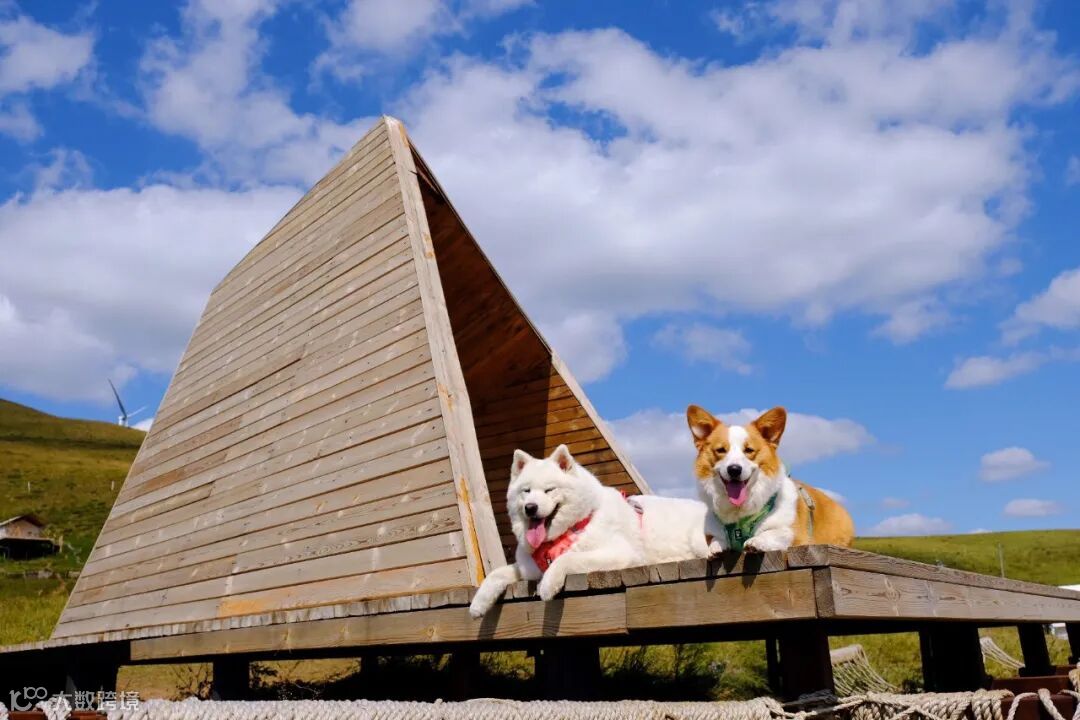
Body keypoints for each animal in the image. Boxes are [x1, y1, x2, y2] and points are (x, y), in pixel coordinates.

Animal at [468, 445, 711, 618]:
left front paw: (548, 585)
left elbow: (566, 559)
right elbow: (496, 573)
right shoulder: (529, 569)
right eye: (526, 491)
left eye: (549, 490)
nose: (530, 508)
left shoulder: (619, 554)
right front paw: (478, 603)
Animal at [687, 405, 854, 553]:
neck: (740, 516)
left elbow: (775, 532)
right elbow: (715, 538)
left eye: (749, 450)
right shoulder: (712, 530)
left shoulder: (796, 534)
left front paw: (756, 541)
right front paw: (717, 546)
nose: (734, 469)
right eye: (721, 450)